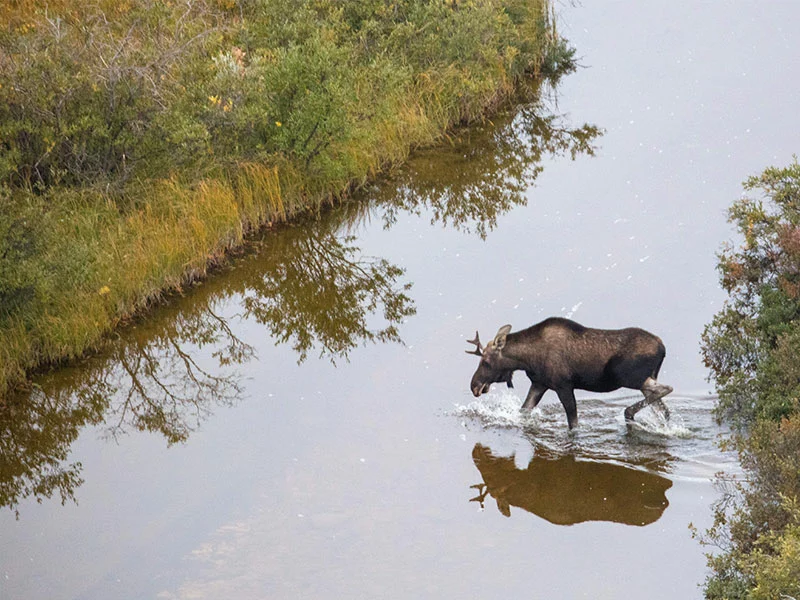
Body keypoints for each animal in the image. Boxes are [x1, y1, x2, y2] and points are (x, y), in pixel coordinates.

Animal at [466, 316, 672, 428]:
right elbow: (524, 410)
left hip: (629, 377)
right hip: (644, 380)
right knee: (664, 410)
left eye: (485, 362)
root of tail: (663, 348)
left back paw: (628, 413)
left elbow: (573, 423)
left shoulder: (563, 385)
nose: (474, 386)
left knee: (666, 389)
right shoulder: (539, 384)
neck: (527, 360)